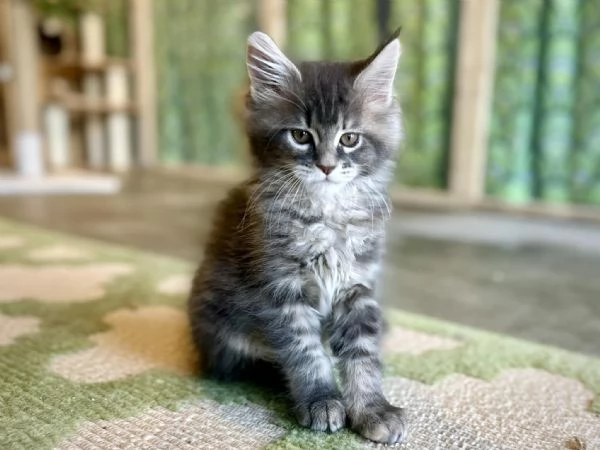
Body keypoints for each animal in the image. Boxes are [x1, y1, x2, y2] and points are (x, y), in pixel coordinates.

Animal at [188, 29, 406, 444]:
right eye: (301, 136)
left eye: (349, 139)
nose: (326, 166)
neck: (326, 213)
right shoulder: (281, 289)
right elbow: (305, 353)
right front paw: (322, 400)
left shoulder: (358, 287)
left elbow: (363, 356)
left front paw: (372, 408)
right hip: (220, 327)